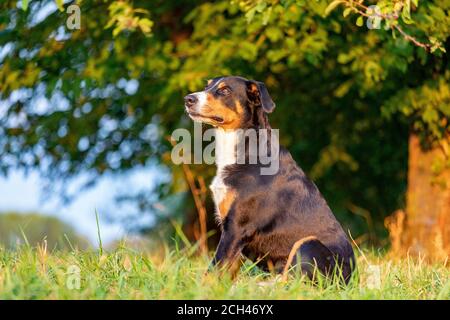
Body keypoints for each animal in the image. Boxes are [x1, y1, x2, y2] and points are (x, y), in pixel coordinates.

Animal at [183, 76, 356, 284]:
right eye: (207, 86)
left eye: (225, 90)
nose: (188, 99)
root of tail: (350, 280)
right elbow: (226, 272)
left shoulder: (235, 229)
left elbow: (213, 270)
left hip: (307, 245)